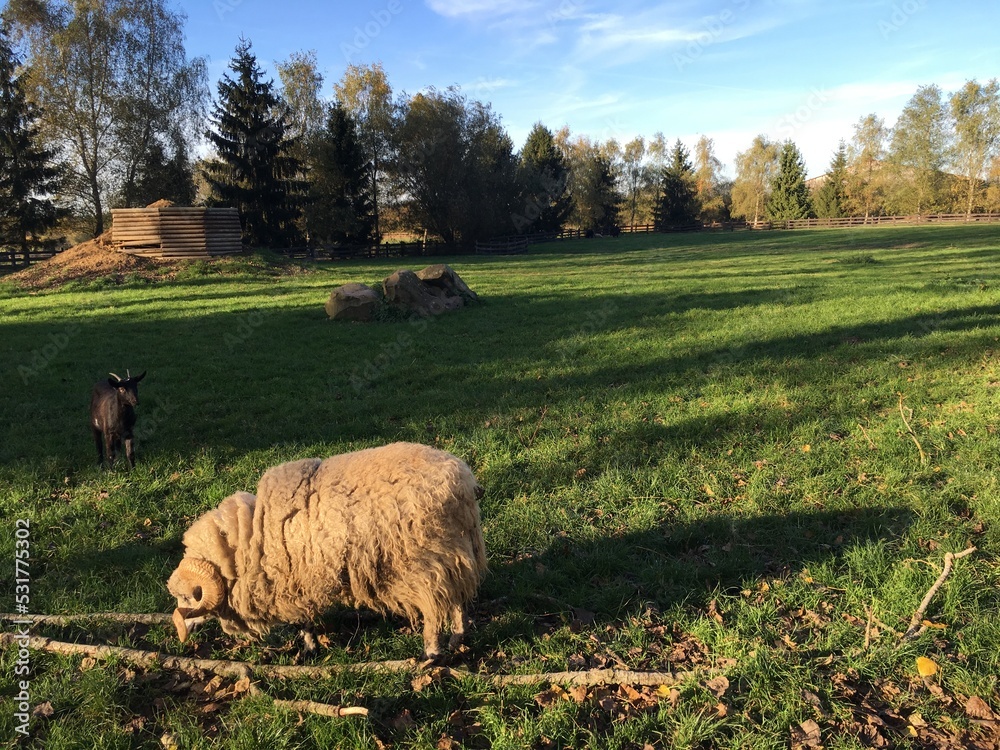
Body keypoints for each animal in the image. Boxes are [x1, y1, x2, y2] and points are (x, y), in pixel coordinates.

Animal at [167, 442, 487, 659]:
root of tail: (462, 480)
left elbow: (303, 620)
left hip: (423, 560)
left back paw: (430, 653)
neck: (251, 540)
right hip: (455, 551)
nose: (182, 630)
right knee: (457, 600)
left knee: (434, 609)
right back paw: (457, 639)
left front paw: (309, 648)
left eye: (191, 596)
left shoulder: (294, 581)